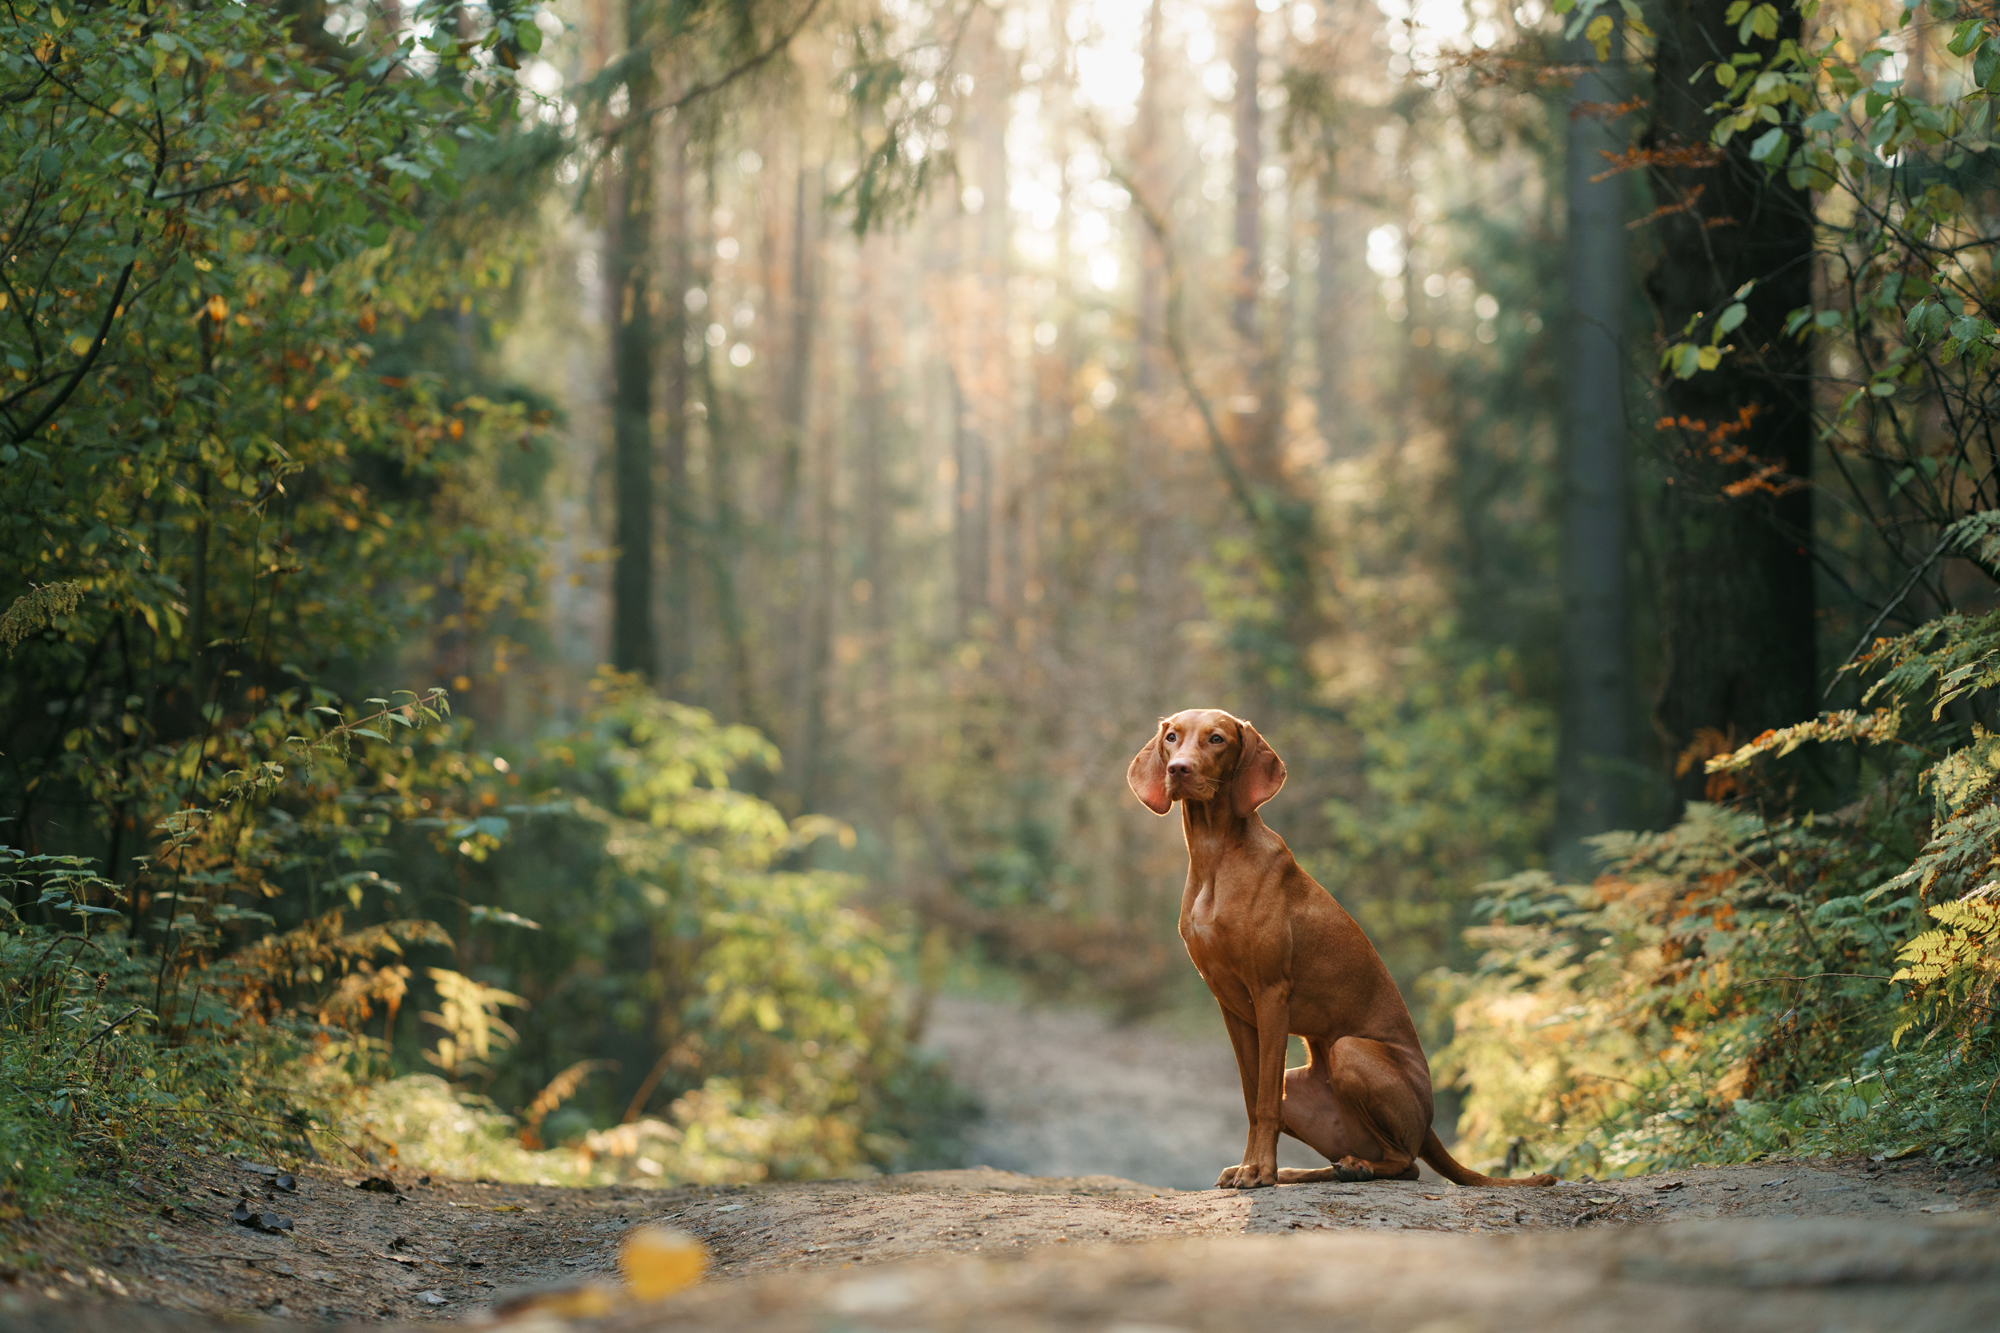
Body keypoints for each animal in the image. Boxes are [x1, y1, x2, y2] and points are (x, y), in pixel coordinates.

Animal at [1136, 704, 1552, 1184]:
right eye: (1171, 737)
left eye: (1217, 739)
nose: (1178, 769)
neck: (1215, 857)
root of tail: (1430, 1125)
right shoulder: (1232, 1006)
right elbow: (1252, 1097)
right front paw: (1254, 1167)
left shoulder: (1271, 994)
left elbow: (1263, 1101)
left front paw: (1258, 1170)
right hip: (1298, 1085)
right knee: (1350, 1153)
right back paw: (1306, 1171)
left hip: (1349, 1051)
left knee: (1406, 1163)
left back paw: (1356, 1167)